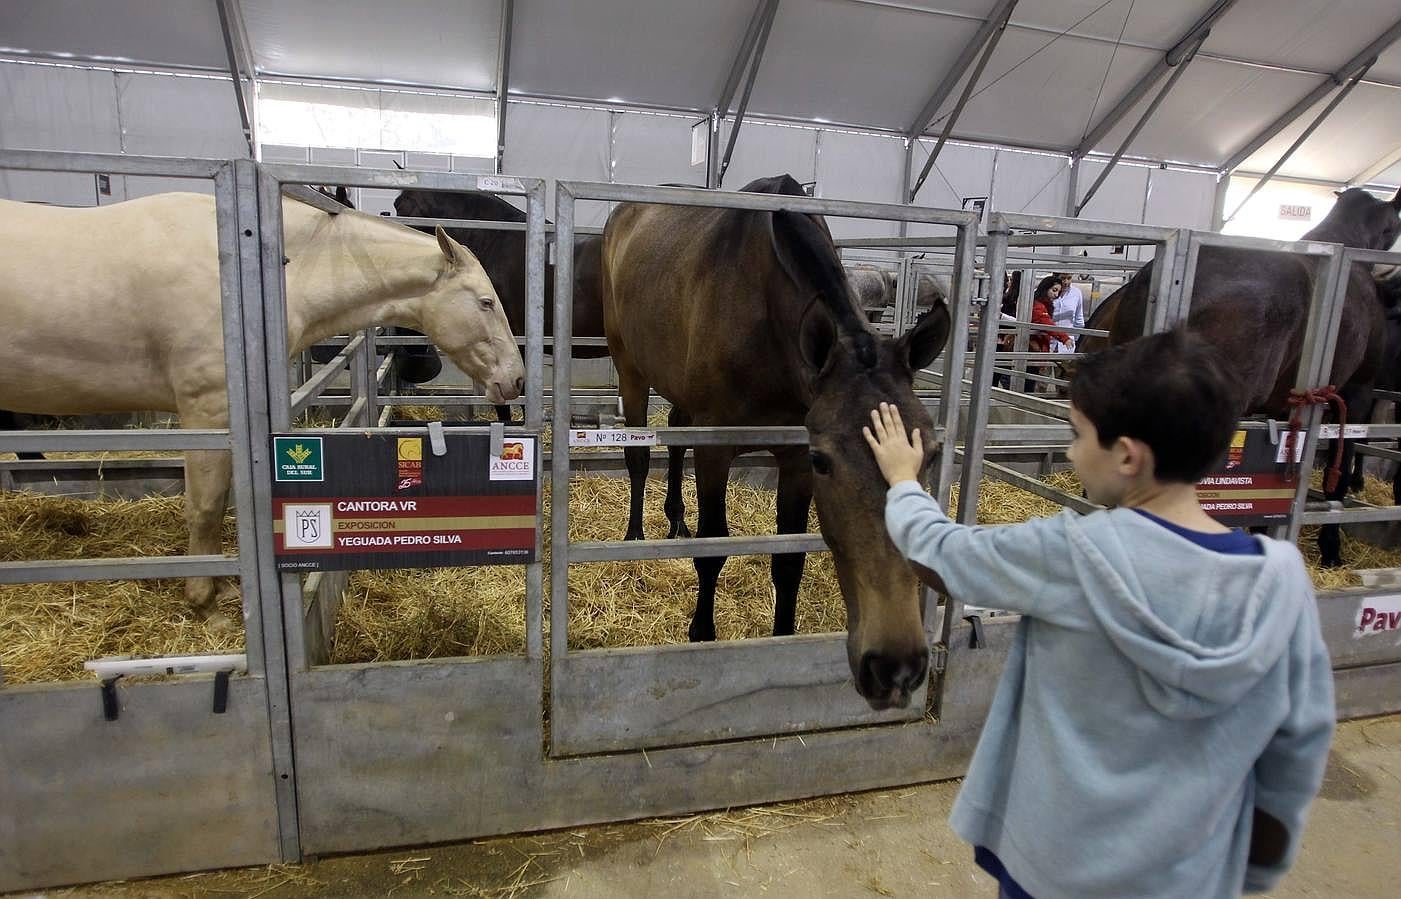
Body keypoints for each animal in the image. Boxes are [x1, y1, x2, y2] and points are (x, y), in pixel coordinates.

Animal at [0, 190, 526, 621]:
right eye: (485, 302)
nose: (517, 378)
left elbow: (220, 503)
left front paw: (222, 591)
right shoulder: (206, 410)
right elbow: (205, 506)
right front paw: (206, 603)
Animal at [602, 173, 952, 705]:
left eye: (930, 454)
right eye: (827, 460)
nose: (895, 666)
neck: (762, 310)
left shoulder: (792, 457)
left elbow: (789, 560)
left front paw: (782, 637)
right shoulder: (717, 448)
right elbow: (713, 547)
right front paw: (702, 634)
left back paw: (675, 521)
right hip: (630, 368)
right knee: (639, 457)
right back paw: (635, 535)